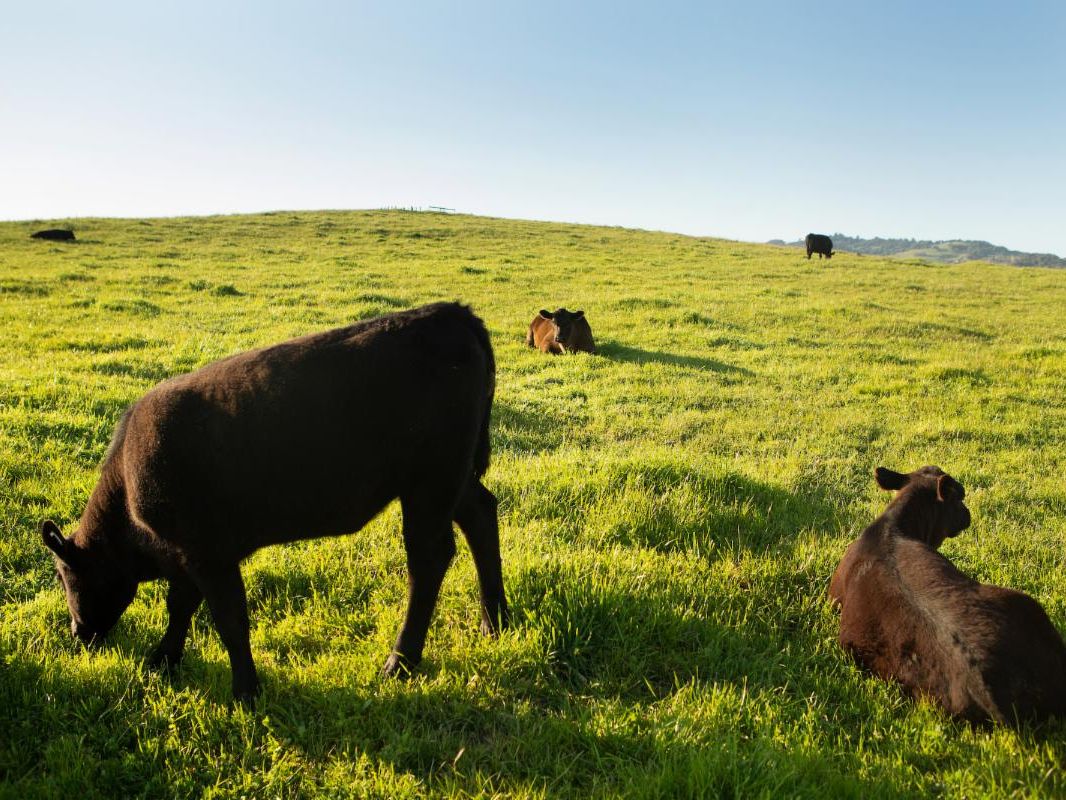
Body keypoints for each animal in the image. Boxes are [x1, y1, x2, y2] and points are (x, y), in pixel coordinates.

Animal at [41, 302, 508, 704]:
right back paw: (496, 621)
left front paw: (245, 691)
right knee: (482, 516)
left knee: (428, 560)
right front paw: (163, 660)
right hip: (452, 481)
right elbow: (181, 607)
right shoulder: (189, 556)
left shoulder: (208, 554)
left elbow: (229, 619)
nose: (77, 633)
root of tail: (450, 313)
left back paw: (400, 662)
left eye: (67, 577)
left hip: (430, 484)